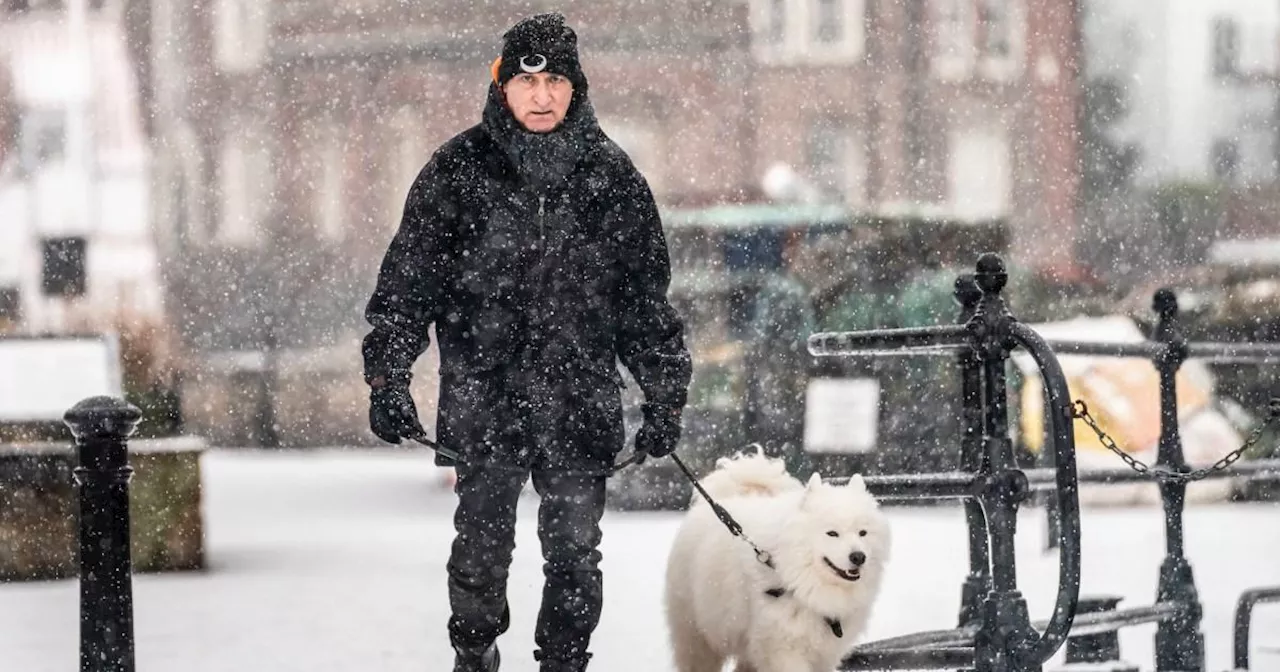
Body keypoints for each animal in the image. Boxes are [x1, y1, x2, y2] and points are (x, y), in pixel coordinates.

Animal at [665, 450, 885, 670]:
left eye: (863, 533)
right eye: (832, 533)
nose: (859, 557)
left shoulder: (824, 653)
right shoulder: (782, 649)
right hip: (697, 634)